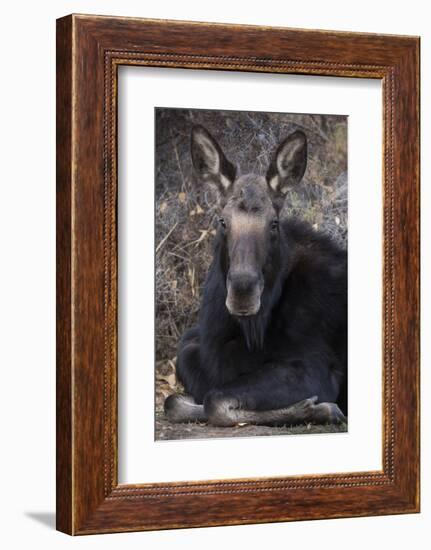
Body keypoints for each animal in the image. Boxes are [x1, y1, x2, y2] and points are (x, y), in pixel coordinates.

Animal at [165, 126, 348, 432]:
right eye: (223, 221)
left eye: (273, 223)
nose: (243, 292)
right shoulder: (190, 351)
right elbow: (174, 401)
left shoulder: (317, 368)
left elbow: (215, 401)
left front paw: (316, 408)